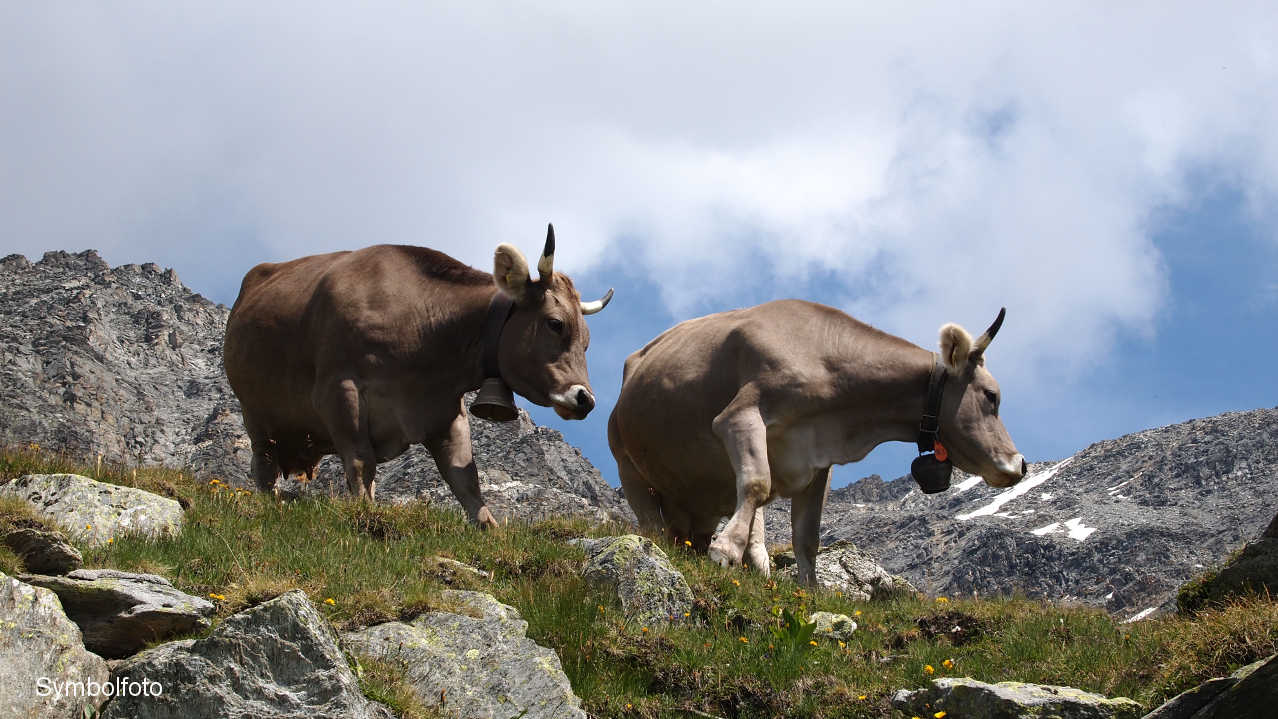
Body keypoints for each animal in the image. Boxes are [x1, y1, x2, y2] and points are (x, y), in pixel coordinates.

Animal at [608, 298, 1027, 584]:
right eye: (992, 396)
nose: (1019, 463)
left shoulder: (818, 459)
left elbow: (807, 536)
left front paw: (810, 590)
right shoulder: (739, 416)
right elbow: (757, 483)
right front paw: (725, 551)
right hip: (626, 461)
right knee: (652, 523)